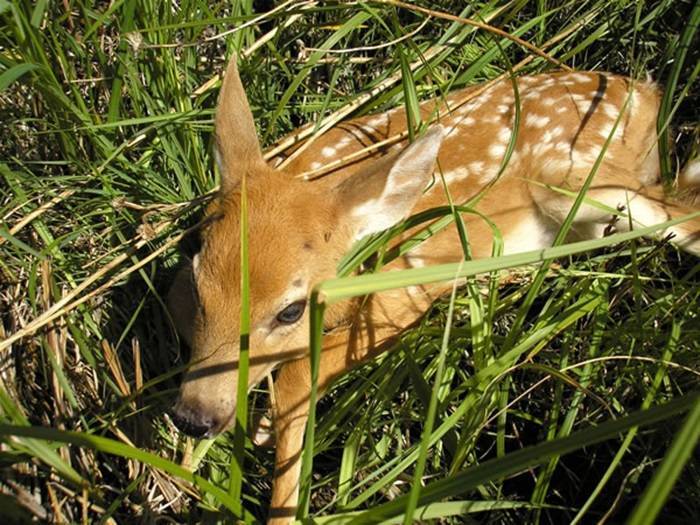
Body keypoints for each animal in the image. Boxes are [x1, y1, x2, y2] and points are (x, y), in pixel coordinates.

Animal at [167, 55, 700, 523]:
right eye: (194, 282)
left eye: (290, 311)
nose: (194, 417)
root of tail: (645, 91)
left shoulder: (402, 294)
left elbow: (298, 379)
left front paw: (282, 501)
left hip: (585, 182)